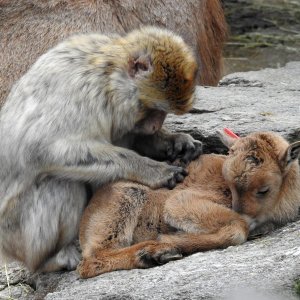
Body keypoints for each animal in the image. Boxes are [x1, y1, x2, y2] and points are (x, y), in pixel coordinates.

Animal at [0, 27, 202, 274]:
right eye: (156, 110)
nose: (156, 126)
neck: (108, 75)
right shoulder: (81, 89)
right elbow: (42, 149)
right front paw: (153, 170)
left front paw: (178, 143)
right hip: (16, 235)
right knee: (59, 183)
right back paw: (52, 259)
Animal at [78, 130, 300, 278]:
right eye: (228, 183)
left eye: (263, 190)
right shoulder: (180, 202)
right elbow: (237, 230)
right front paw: (171, 240)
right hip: (125, 201)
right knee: (91, 261)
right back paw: (154, 253)